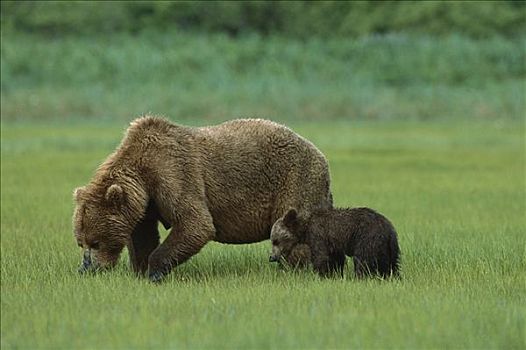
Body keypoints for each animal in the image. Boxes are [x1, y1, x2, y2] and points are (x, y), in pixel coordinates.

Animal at [72, 117, 332, 282]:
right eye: (80, 242)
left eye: (96, 242)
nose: (87, 268)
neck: (142, 172)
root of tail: (320, 153)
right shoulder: (146, 202)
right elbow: (142, 235)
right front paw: (140, 268)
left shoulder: (174, 174)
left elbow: (196, 223)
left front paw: (154, 272)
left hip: (295, 179)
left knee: (294, 228)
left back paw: (300, 268)